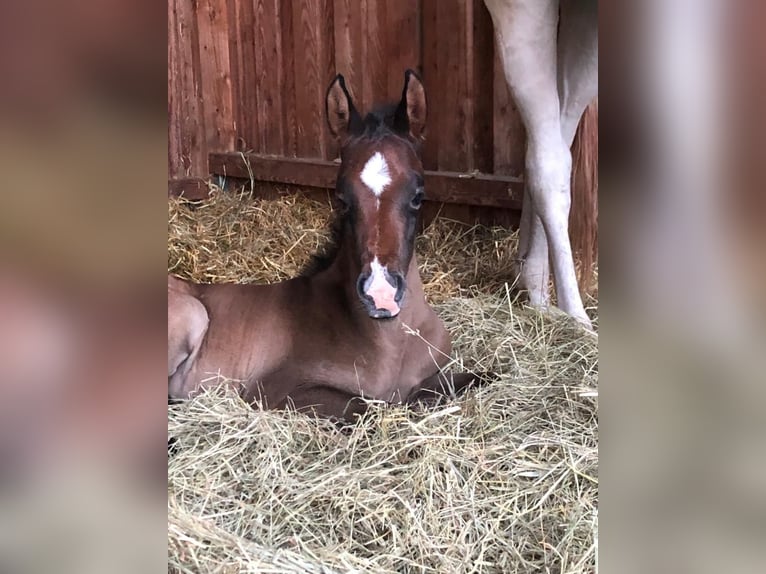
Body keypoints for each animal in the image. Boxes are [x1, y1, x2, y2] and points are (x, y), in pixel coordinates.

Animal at [169, 73, 484, 424]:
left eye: (418, 195)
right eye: (342, 198)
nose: (381, 294)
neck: (392, 341)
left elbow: (482, 377)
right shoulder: (274, 390)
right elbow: (372, 408)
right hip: (192, 314)